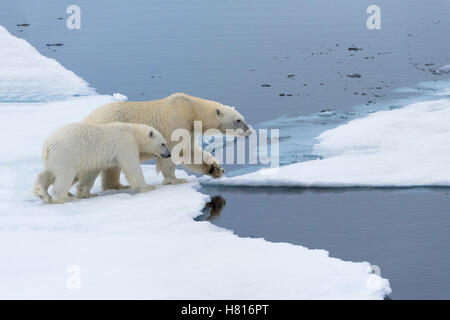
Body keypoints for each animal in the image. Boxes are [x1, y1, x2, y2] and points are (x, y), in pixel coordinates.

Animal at [84, 92, 251, 188]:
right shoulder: (177, 122)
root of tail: (86, 118)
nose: (249, 130)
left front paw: (216, 169)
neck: (192, 109)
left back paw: (117, 186)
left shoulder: (190, 129)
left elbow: (189, 152)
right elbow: (172, 153)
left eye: (243, 118)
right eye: (238, 120)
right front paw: (176, 180)